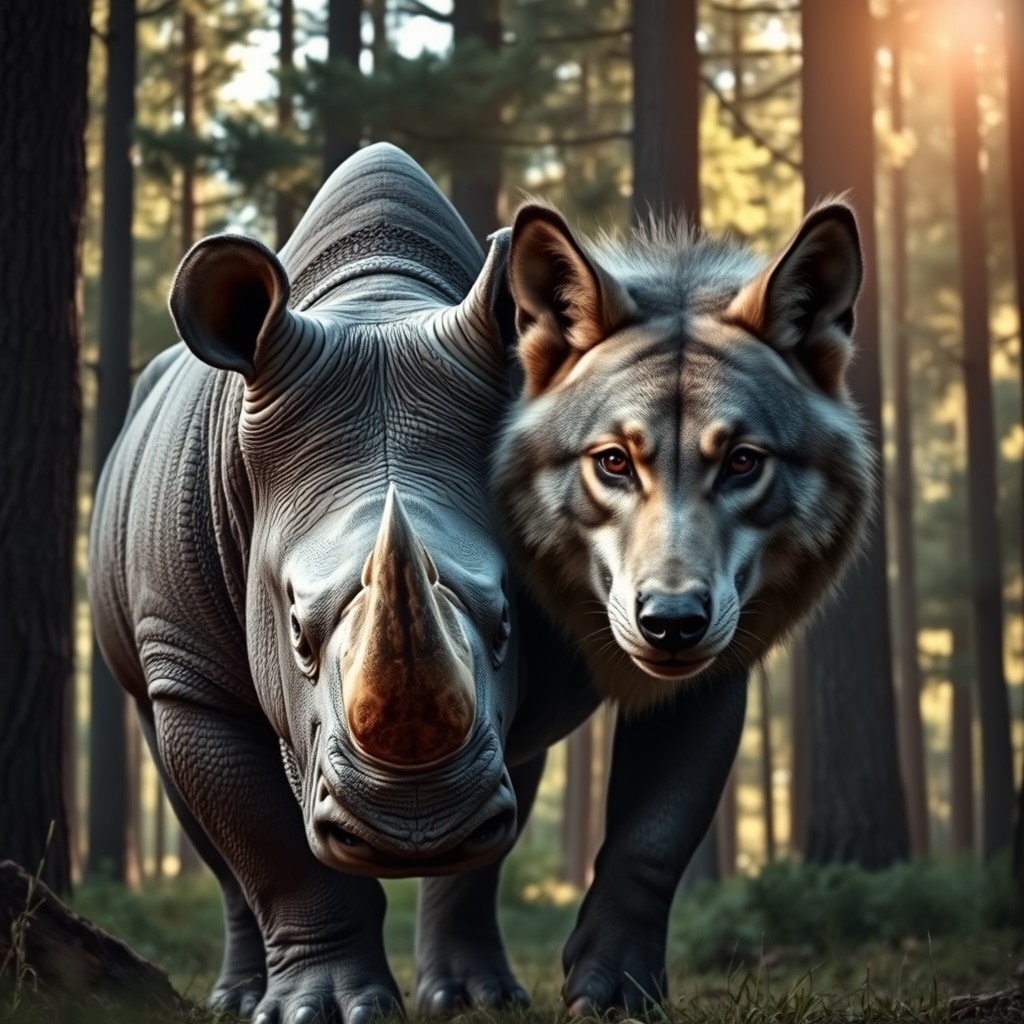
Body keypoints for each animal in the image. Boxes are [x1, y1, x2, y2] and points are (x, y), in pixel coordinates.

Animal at [492, 199, 875, 1010]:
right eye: (614, 462)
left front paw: (617, 988)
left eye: (741, 462)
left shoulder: (710, 688)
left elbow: (650, 846)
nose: (671, 623)